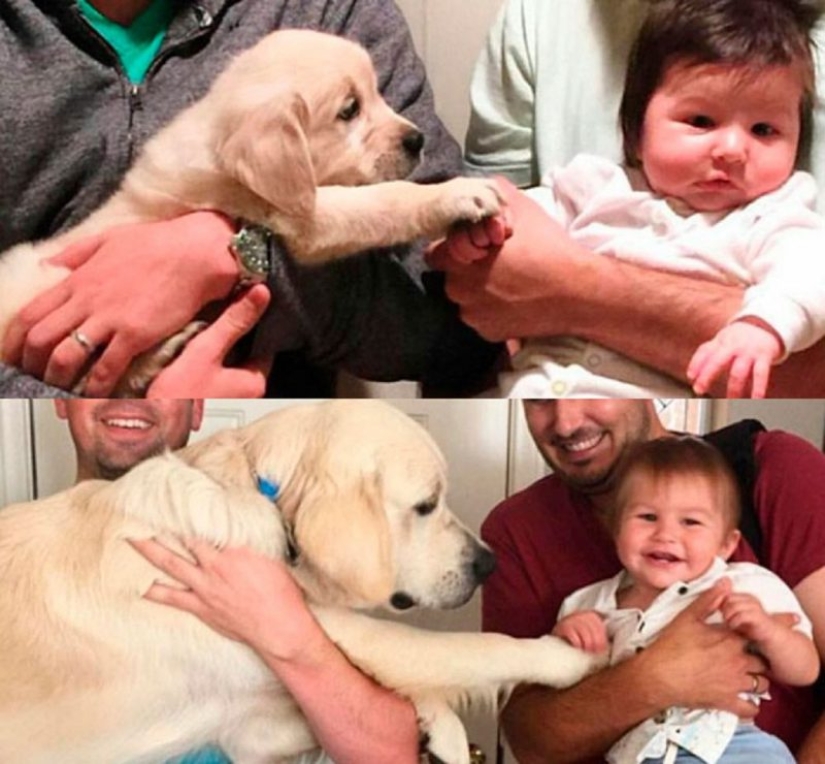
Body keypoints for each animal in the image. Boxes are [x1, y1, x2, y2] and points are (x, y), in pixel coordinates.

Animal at [0, 28, 502, 394]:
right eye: (349, 110)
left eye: (377, 93)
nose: (417, 140)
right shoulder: (301, 216)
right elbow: (384, 199)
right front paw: (460, 194)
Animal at [0, 400, 600, 764]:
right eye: (426, 505)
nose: (488, 564)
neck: (257, 493)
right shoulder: (321, 624)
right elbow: (474, 648)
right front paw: (573, 657)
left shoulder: (248, 726)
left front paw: (439, 729)